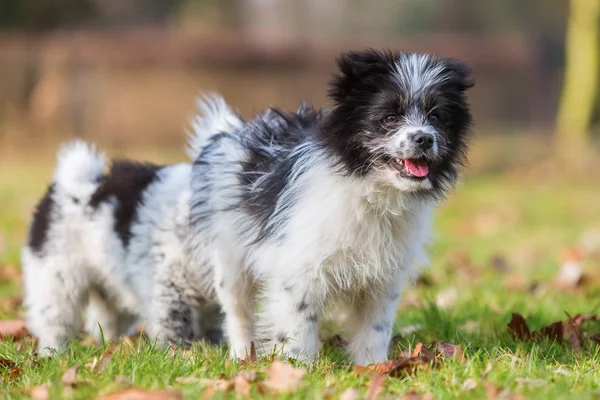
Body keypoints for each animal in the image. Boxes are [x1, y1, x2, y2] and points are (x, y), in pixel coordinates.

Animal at [22, 94, 241, 356]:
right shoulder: (167, 289)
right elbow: (174, 328)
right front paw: (178, 355)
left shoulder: (208, 302)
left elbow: (212, 327)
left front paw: (212, 350)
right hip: (57, 281)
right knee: (54, 323)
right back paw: (53, 354)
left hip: (110, 288)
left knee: (106, 324)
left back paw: (111, 348)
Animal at [190, 48, 476, 364]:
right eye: (389, 117)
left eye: (436, 117)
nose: (424, 138)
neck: (370, 191)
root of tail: (236, 132)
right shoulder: (299, 271)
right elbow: (297, 326)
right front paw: (298, 367)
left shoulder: (383, 279)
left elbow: (376, 329)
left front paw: (374, 367)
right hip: (230, 259)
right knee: (237, 311)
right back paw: (242, 354)